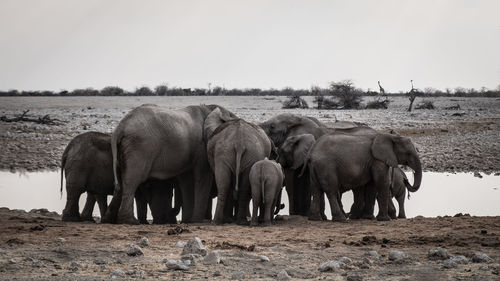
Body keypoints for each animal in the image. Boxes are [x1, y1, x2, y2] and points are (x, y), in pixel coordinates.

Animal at [101, 103, 236, 223]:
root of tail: (121, 127)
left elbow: (186, 182)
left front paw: (187, 221)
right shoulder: (202, 147)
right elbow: (203, 178)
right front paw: (195, 221)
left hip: (124, 149)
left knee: (121, 180)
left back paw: (109, 220)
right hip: (139, 147)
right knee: (132, 180)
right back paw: (130, 221)